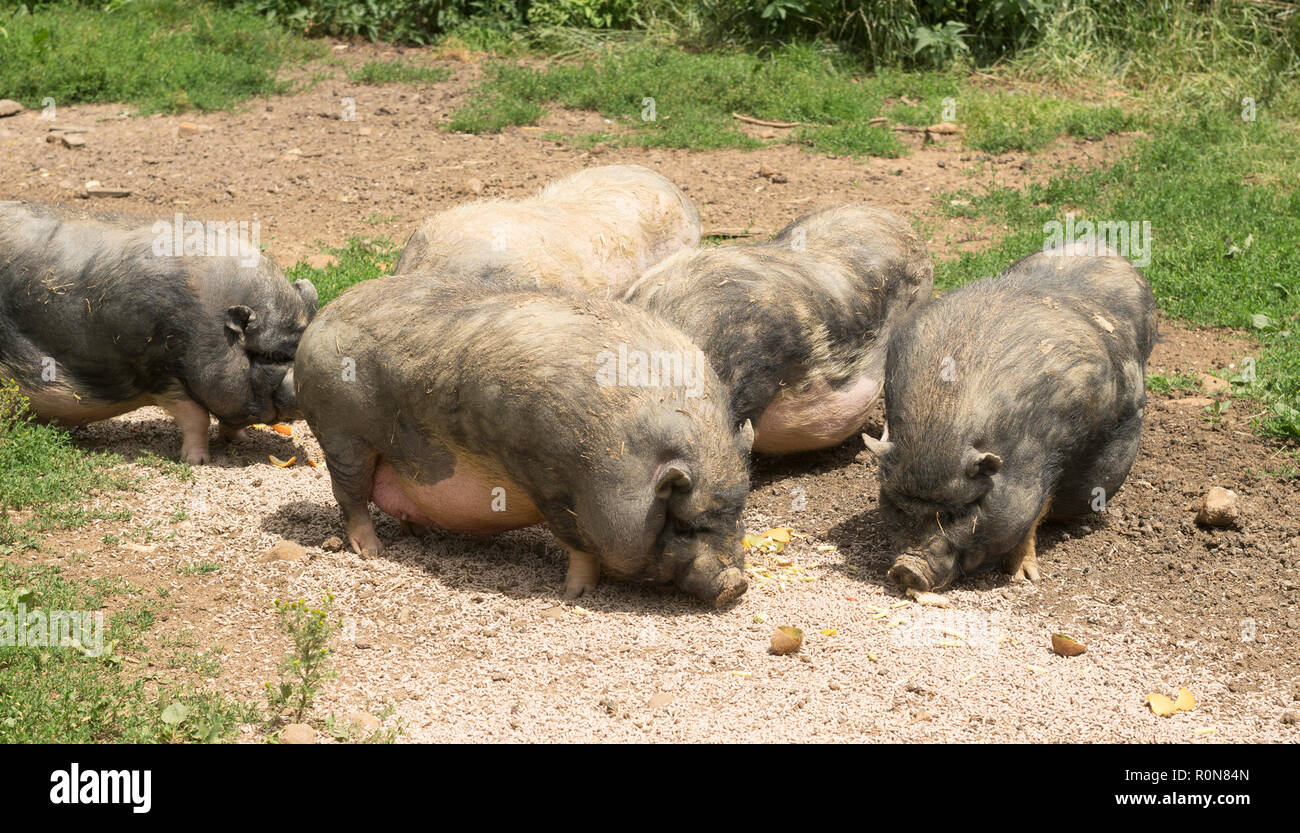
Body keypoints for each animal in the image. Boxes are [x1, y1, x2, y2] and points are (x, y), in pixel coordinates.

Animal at [0, 200, 317, 462]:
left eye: (299, 345)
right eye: (270, 355)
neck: (207, 328)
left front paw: (240, 440)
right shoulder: (159, 369)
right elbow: (196, 419)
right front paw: (197, 462)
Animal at [293, 272, 754, 602]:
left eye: (737, 515)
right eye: (686, 526)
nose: (736, 584)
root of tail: (323, 316)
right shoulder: (550, 480)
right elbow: (578, 545)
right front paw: (575, 594)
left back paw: (418, 534)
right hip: (340, 433)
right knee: (349, 494)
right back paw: (372, 552)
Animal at [863, 248, 1159, 592]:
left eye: (959, 512)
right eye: (897, 505)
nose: (907, 569)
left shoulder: (1046, 465)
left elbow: (1032, 519)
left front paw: (1025, 578)